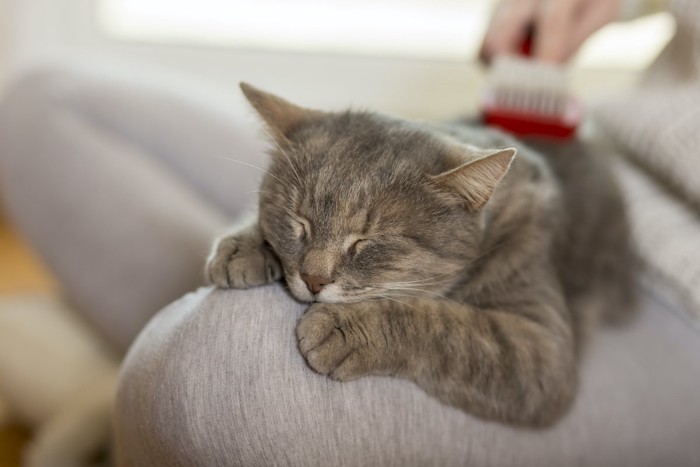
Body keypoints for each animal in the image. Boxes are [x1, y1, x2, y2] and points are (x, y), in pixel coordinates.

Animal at [205, 83, 636, 428]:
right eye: (299, 222)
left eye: (366, 241)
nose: (313, 280)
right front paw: (243, 245)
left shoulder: (541, 351)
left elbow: (446, 326)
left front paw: (346, 328)